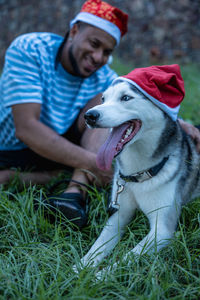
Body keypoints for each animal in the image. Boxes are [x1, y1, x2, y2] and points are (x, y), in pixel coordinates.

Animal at [79, 65, 200, 270]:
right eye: (103, 99)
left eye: (126, 98)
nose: (90, 115)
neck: (137, 174)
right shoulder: (118, 214)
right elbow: (97, 246)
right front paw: (78, 269)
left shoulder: (162, 232)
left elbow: (124, 259)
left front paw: (99, 275)